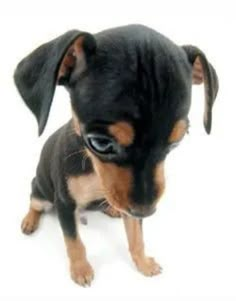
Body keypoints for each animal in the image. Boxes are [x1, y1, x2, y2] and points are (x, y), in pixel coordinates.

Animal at [13, 24, 218, 284]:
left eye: (178, 140)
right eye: (100, 143)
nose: (146, 212)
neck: (93, 169)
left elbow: (137, 237)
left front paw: (143, 264)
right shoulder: (65, 204)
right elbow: (74, 242)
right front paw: (81, 270)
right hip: (41, 191)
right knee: (35, 203)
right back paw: (30, 220)